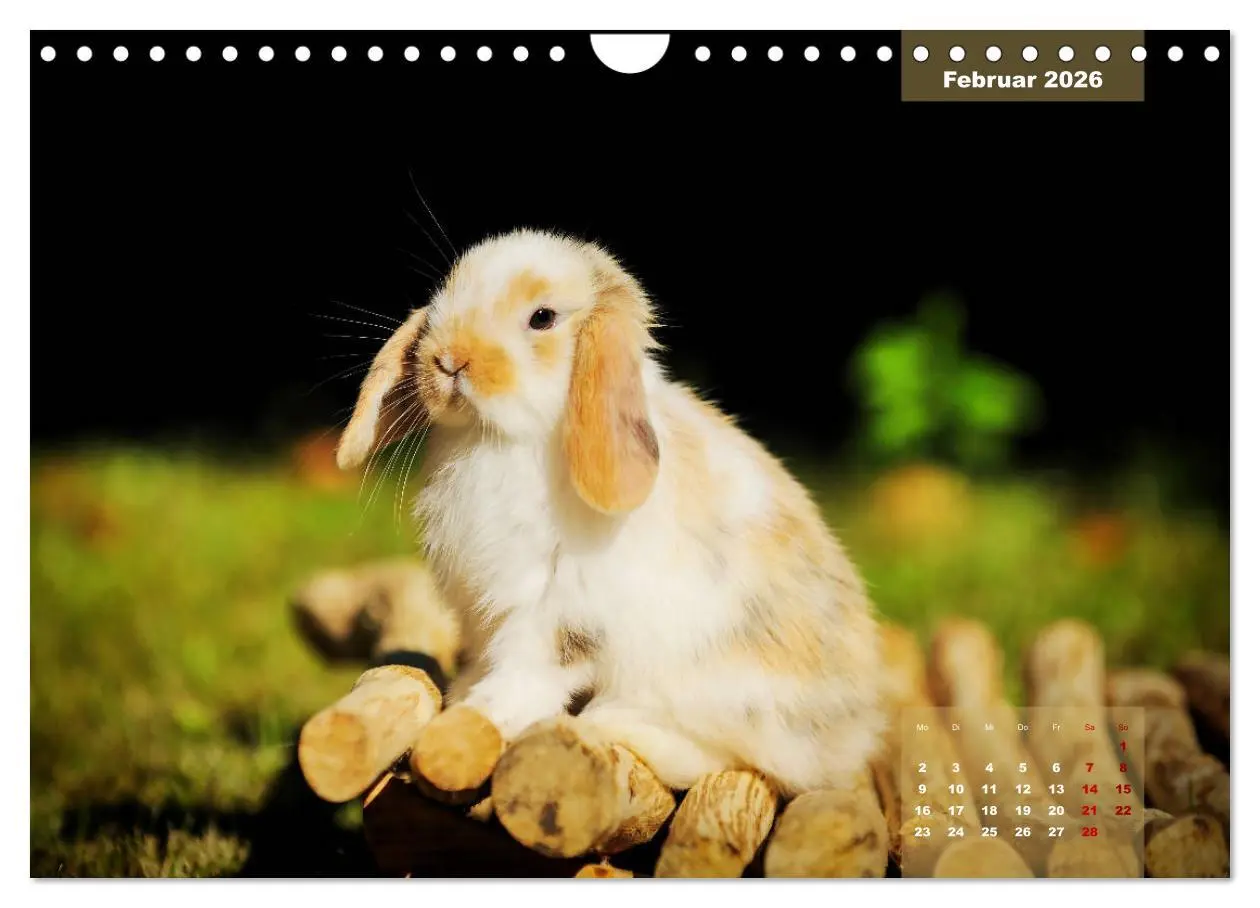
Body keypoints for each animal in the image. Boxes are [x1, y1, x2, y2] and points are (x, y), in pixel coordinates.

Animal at [336, 228, 886, 795]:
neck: (497, 439)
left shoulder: (559, 608)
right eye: (444, 295)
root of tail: (855, 733)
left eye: (542, 318)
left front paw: (481, 714)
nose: (448, 360)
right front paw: (461, 695)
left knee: (740, 759)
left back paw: (612, 724)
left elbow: (531, 671)